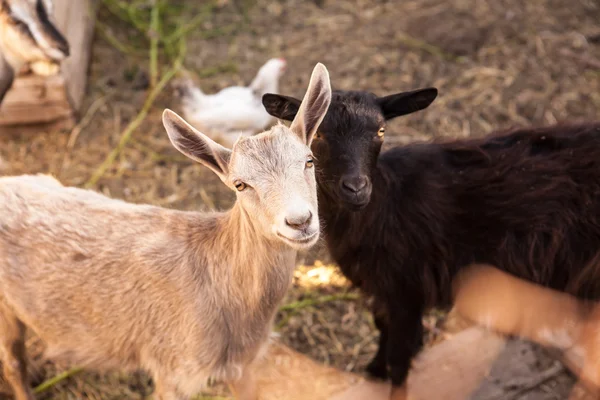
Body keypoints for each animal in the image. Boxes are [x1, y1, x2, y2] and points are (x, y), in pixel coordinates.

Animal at [264, 86, 600, 388]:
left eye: (381, 131)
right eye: (319, 135)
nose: (356, 188)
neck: (387, 205)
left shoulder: (408, 287)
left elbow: (401, 358)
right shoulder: (383, 287)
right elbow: (382, 328)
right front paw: (374, 371)